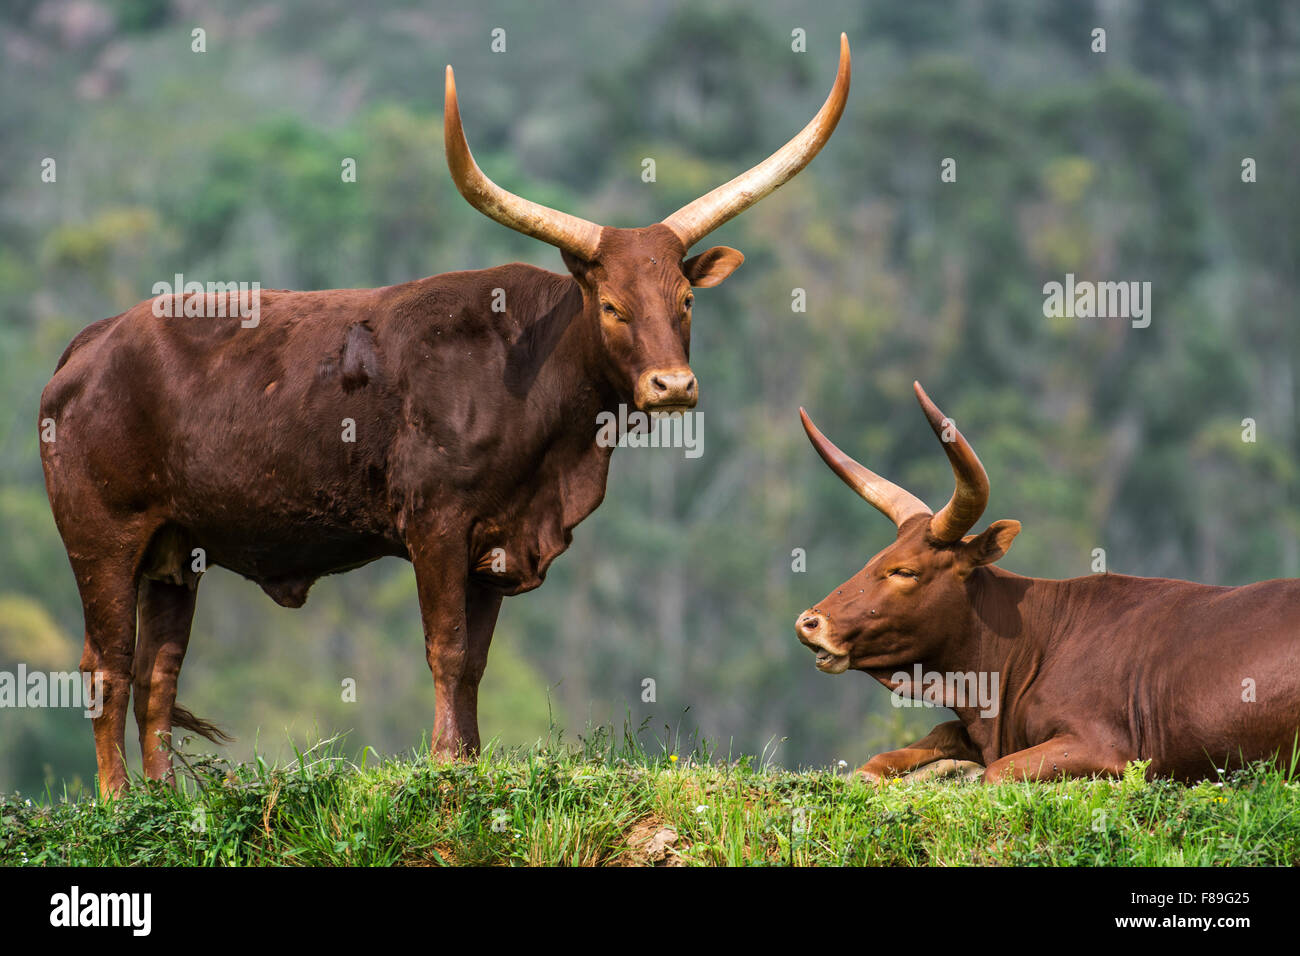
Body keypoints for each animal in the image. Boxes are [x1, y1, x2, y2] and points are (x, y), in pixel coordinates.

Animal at [40, 39, 847, 801]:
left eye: (684, 301)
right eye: (614, 306)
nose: (672, 385)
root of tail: (94, 342)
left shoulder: (497, 540)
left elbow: (476, 663)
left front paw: (470, 762)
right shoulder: (436, 523)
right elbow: (448, 649)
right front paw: (441, 766)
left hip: (177, 551)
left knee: (159, 671)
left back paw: (163, 799)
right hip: (101, 536)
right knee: (107, 665)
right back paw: (118, 803)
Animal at [790, 382, 1300, 785]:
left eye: (905, 571)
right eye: (877, 559)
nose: (809, 623)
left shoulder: (1104, 749)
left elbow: (994, 773)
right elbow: (888, 758)